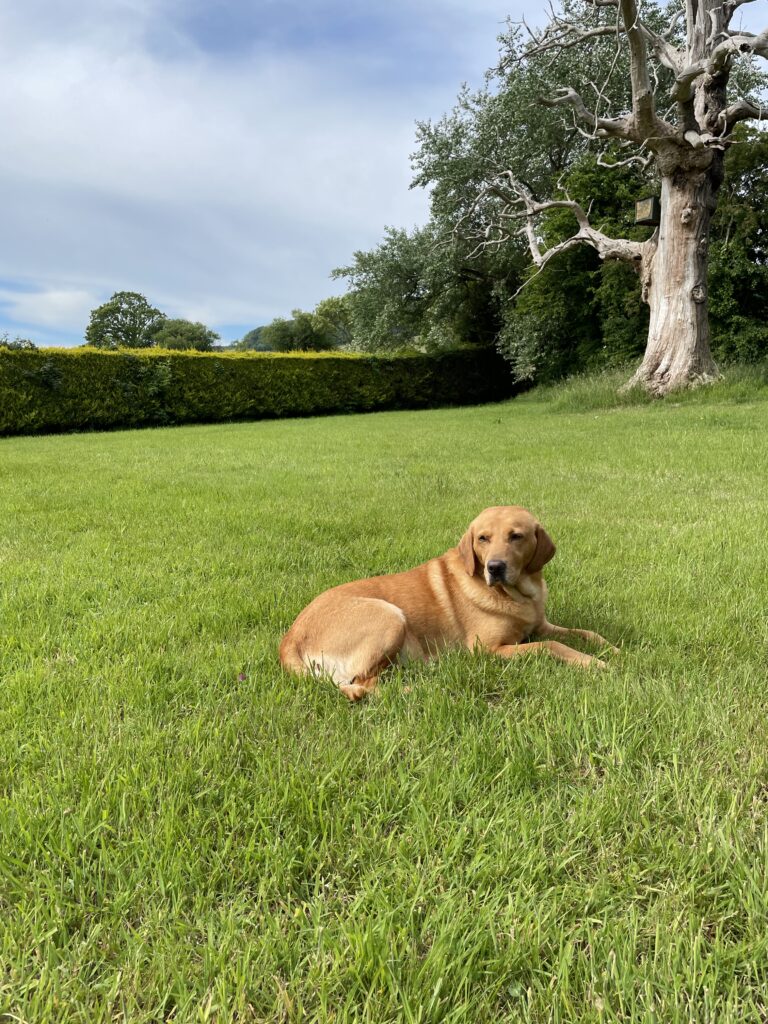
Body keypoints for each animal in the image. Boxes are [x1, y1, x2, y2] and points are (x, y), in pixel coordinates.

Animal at [280, 505, 618, 700]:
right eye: (483, 538)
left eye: (516, 536)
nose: (494, 567)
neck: (518, 594)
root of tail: (290, 638)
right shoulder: (490, 650)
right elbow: (553, 646)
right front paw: (595, 663)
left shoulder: (541, 626)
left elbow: (584, 633)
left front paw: (611, 648)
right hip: (390, 616)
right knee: (363, 683)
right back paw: (417, 688)